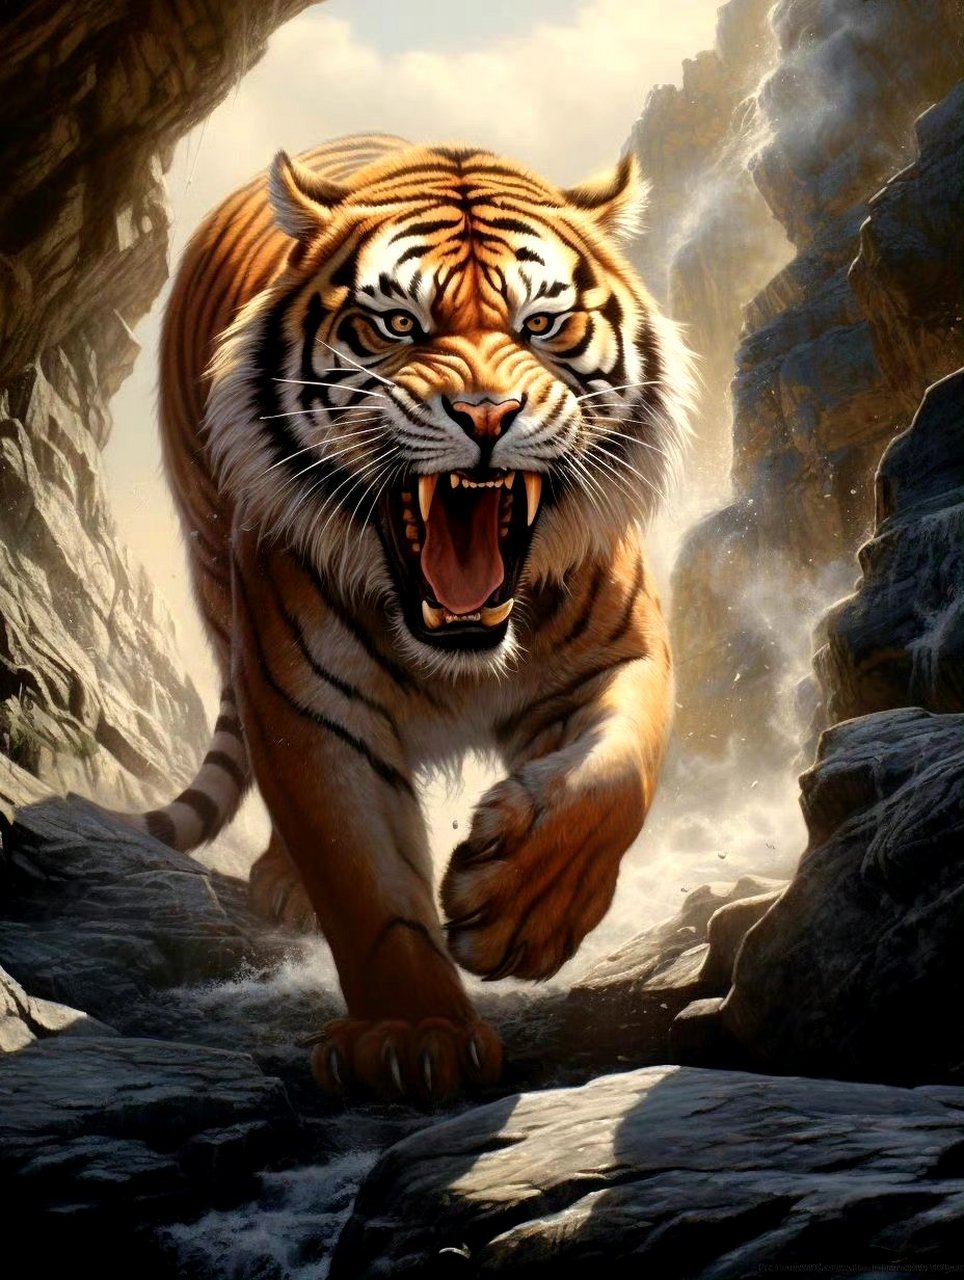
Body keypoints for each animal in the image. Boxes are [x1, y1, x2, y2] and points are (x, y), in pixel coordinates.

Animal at [127, 134, 693, 1104]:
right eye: (397, 326)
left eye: (541, 325)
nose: (487, 415)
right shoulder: (307, 708)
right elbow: (364, 880)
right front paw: (412, 1035)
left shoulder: (620, 655)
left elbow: (613, 779)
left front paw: (520, 914)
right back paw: (284, 886)